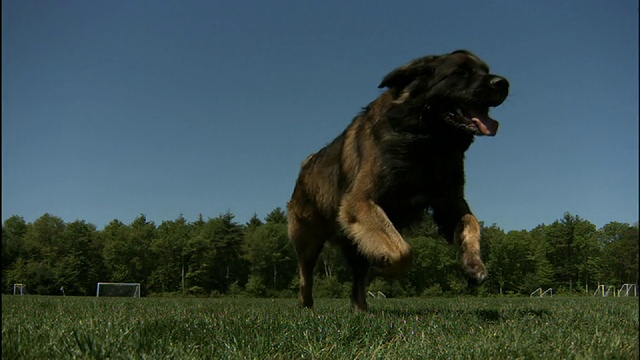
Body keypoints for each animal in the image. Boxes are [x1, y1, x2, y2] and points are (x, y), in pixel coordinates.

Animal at [288, 49, 510, 310]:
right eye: (461, 73)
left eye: (486, 71)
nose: (503, 83)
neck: (428, 141)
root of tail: (306, 165)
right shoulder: (360, 201)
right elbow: (403, 252)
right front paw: (386, 268)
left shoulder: (450, 202)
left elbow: (471, 223)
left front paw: (473, 264)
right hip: (308, 238)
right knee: (306, 273)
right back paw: (307, 304)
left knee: (357, 280)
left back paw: (361, 309)